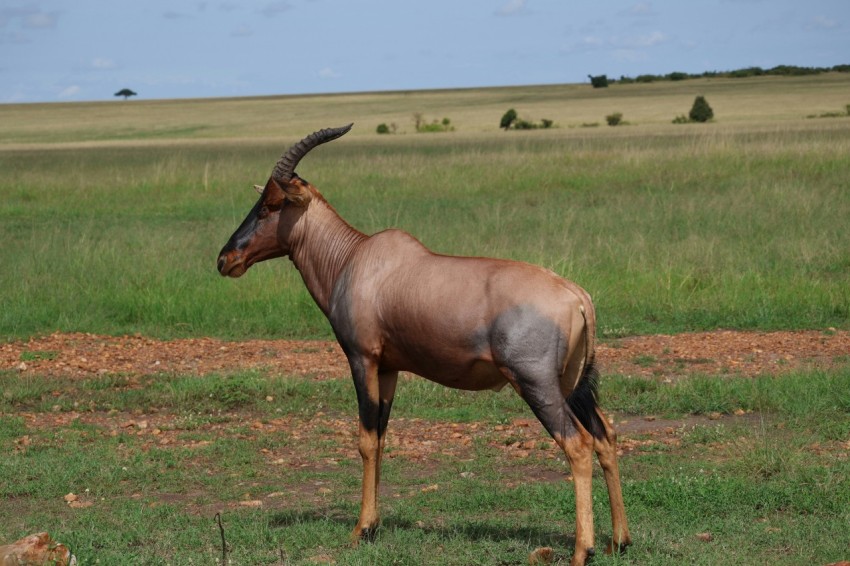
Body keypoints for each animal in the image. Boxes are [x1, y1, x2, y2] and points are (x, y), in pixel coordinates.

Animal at [219, 125, 628, 566]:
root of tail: (576, 295)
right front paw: (374, 526)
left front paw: (360, 530)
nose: (226, 259)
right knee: (605, 435)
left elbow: (365, 439)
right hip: (573, 385)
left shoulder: (362, 359)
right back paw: (619, 541)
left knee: (578, 445)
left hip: (537, 384)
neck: (356, 258)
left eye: (271, 205)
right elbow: (381, 438)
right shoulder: (389, 368)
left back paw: (582, 550)